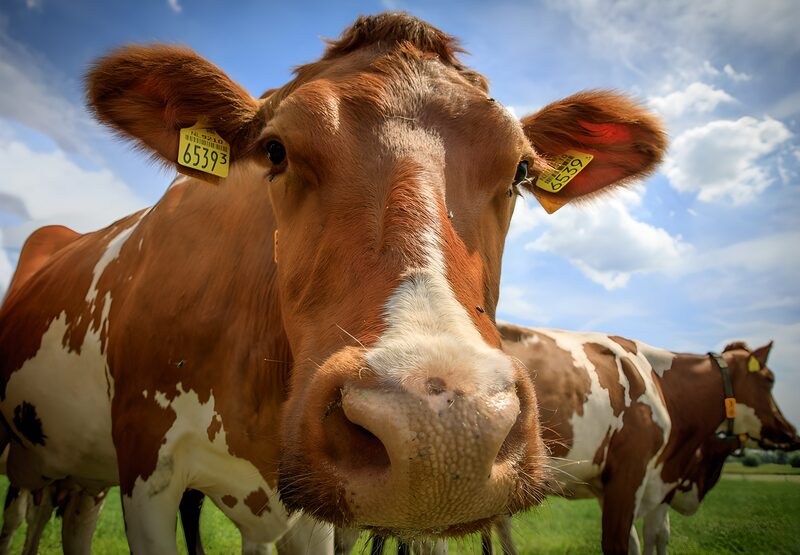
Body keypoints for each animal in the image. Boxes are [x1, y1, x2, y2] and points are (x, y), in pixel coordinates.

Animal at [498, 324, 799, 555]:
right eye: (769, 379)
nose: (791, 433)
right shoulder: (634, 470)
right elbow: (632, 540)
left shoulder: (612, 485)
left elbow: (641, 540)